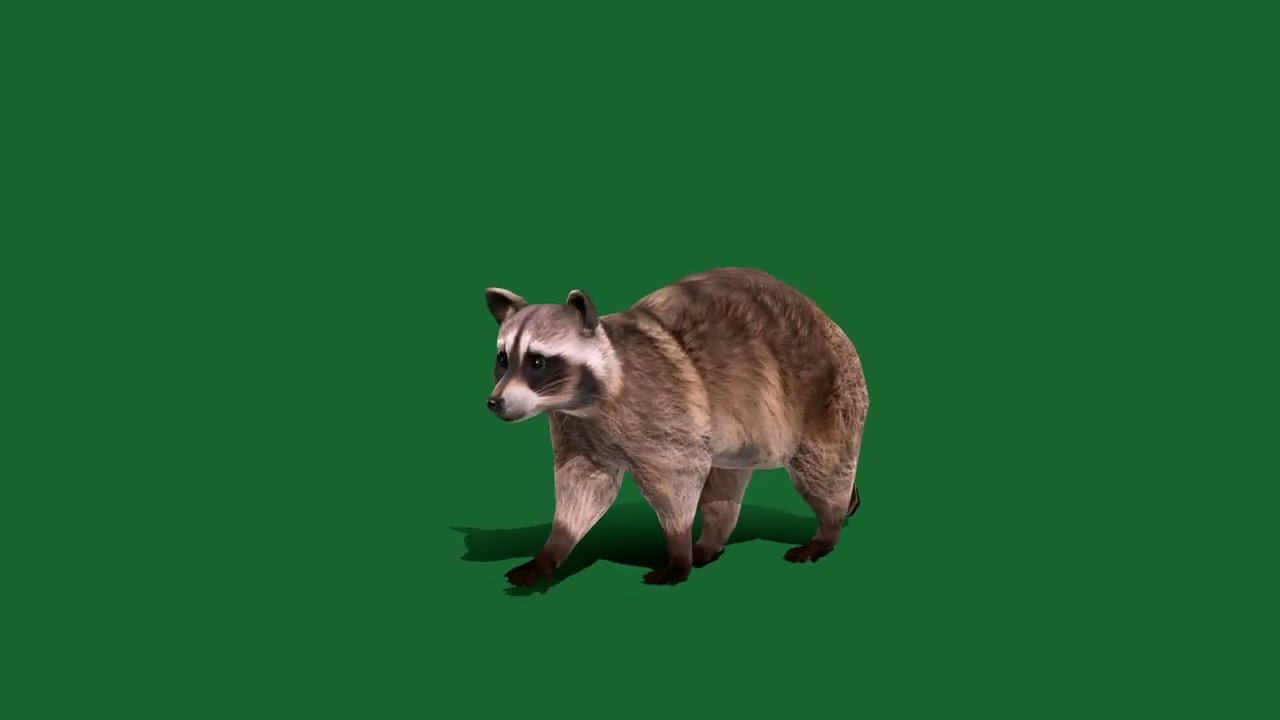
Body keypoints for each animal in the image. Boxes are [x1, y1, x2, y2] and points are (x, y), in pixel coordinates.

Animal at [483, 267, 869, 587]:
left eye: (538, 362)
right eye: (503, 359)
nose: (495, 402)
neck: (588, 403)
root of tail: (829, 322)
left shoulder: (663, 407)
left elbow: (678, 476)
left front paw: (678, 547)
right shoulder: (578, 429)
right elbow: (584, 486)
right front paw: (553, 547)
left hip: (827, 394)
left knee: (823, 466)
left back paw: (827, 528)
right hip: (736, 431)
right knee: (725, 484)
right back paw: (712, 540)